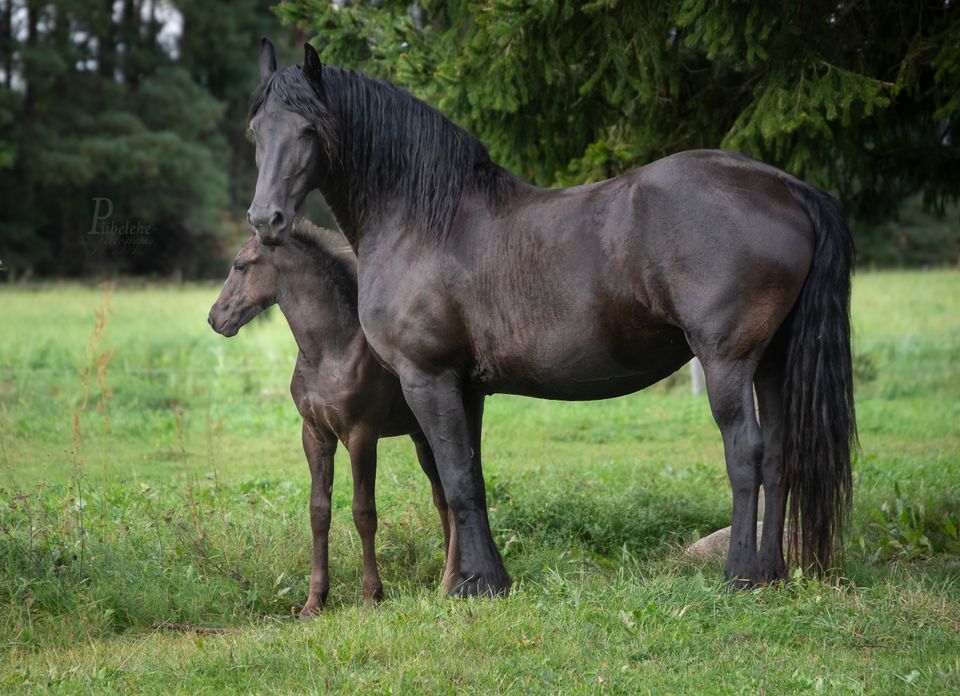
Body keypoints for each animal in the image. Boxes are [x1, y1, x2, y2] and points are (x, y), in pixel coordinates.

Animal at [246, 36, 856, 592]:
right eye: (256, 131)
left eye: (309, 129)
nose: (265, 219)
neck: (425, 222)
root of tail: (786, 187)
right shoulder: (467, 388)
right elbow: (471, 476)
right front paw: (487, 578)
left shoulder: (429, 378)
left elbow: (455, 478)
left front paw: (475, 585)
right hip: (772, 360)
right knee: (778, 455)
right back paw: (773, 572)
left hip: (728, 361)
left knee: (746, 452)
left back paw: (741, 576)